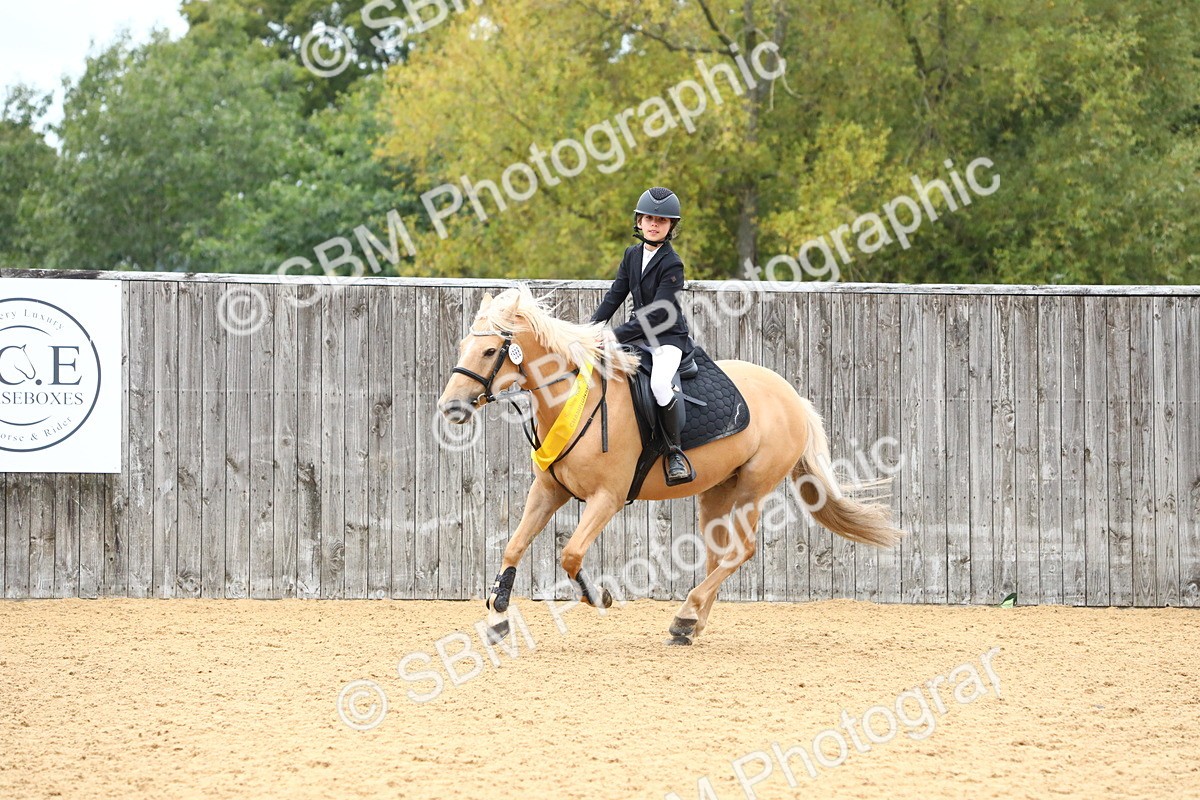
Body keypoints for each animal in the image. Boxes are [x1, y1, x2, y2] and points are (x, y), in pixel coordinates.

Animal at [436, 285, 903, 645]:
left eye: (490, 350)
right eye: (462, 346)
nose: (449, 408)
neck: (575, 398)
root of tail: (792, 396)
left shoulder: (607, 498)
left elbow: (570, 554)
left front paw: (596, 595)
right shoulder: (549, 490)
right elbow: (514, 545)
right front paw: (497, 616)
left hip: (753, 487)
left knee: (742, 550)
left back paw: (686, 614)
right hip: (718, 490)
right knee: (719, 554)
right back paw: (689, 624)